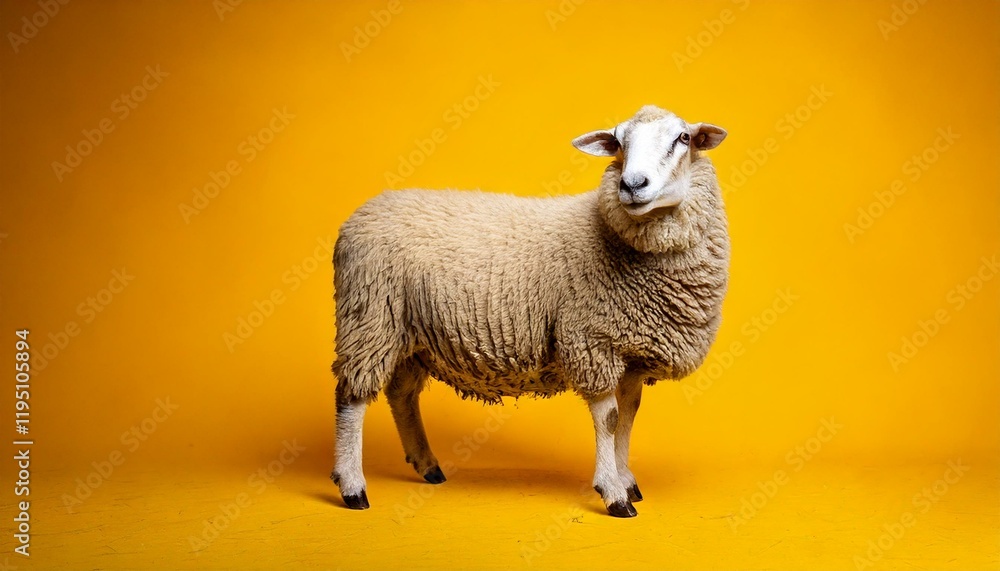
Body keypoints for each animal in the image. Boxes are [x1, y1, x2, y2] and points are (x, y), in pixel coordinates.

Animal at [331, 104, 730, 518]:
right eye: (619, 142)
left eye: (683, 138)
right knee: (351, 398)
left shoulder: (632, 352)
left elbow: (629, 416)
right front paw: (614, 492)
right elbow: (609, 419)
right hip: (368, 318)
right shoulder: (591, 341)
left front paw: (627, 480)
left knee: (402, 395)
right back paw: (353, 486)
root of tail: (362, 214)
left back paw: (427, 465)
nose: (632, 184)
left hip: (408, 334)